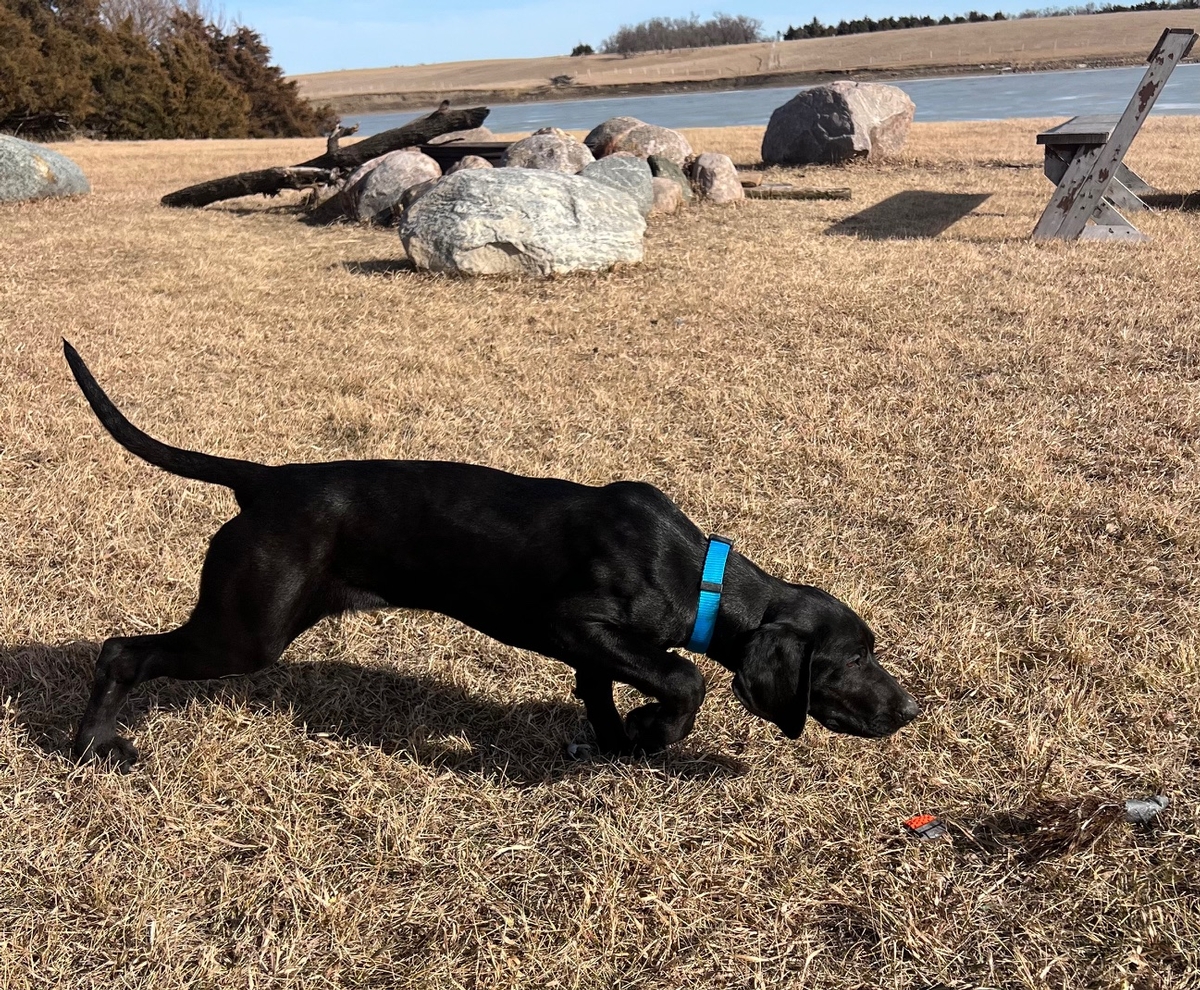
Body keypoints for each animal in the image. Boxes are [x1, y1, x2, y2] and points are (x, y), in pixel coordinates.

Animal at [63, 341, 920, 767]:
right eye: (851, 659)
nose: (912, 709)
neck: (700, 574)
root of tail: (266, 483)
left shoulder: (594, 652)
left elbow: (604, 696)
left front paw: (619, 748)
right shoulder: (574, 624)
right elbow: (684, 677)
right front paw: (656, 735)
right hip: (248, 631)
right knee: (119, 651)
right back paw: (92, 750)